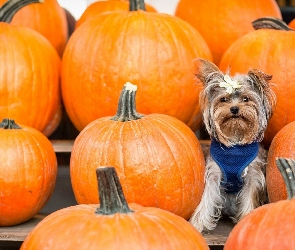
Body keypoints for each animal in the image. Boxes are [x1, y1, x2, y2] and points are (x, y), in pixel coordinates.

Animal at [190, 58, 278, 232]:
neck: (235, 140)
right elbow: (207, 198)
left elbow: (249, 197)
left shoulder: (253, 175)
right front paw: (198, 223)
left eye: (246, 99)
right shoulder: (214, 173)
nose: (234, 108)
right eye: (223, 99)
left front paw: (247, 219)